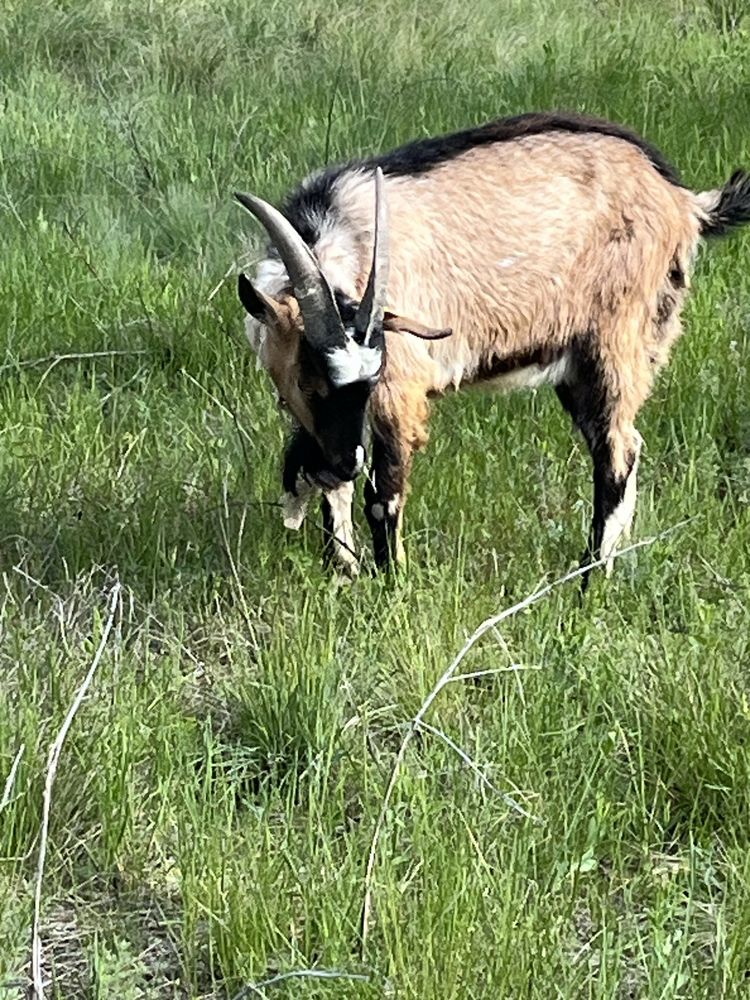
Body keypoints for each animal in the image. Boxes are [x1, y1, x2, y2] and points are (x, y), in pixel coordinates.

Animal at [235, 110, 750, 584]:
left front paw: (392, 584)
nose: (344, 463)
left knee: (617, 452)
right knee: (626, 445)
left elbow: (383, 494)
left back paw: (587, 580)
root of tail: (684, 202)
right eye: (310, 381)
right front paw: (343, 572)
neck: (345, 236)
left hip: (615, 340)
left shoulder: (397, 386)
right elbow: (335, 486)